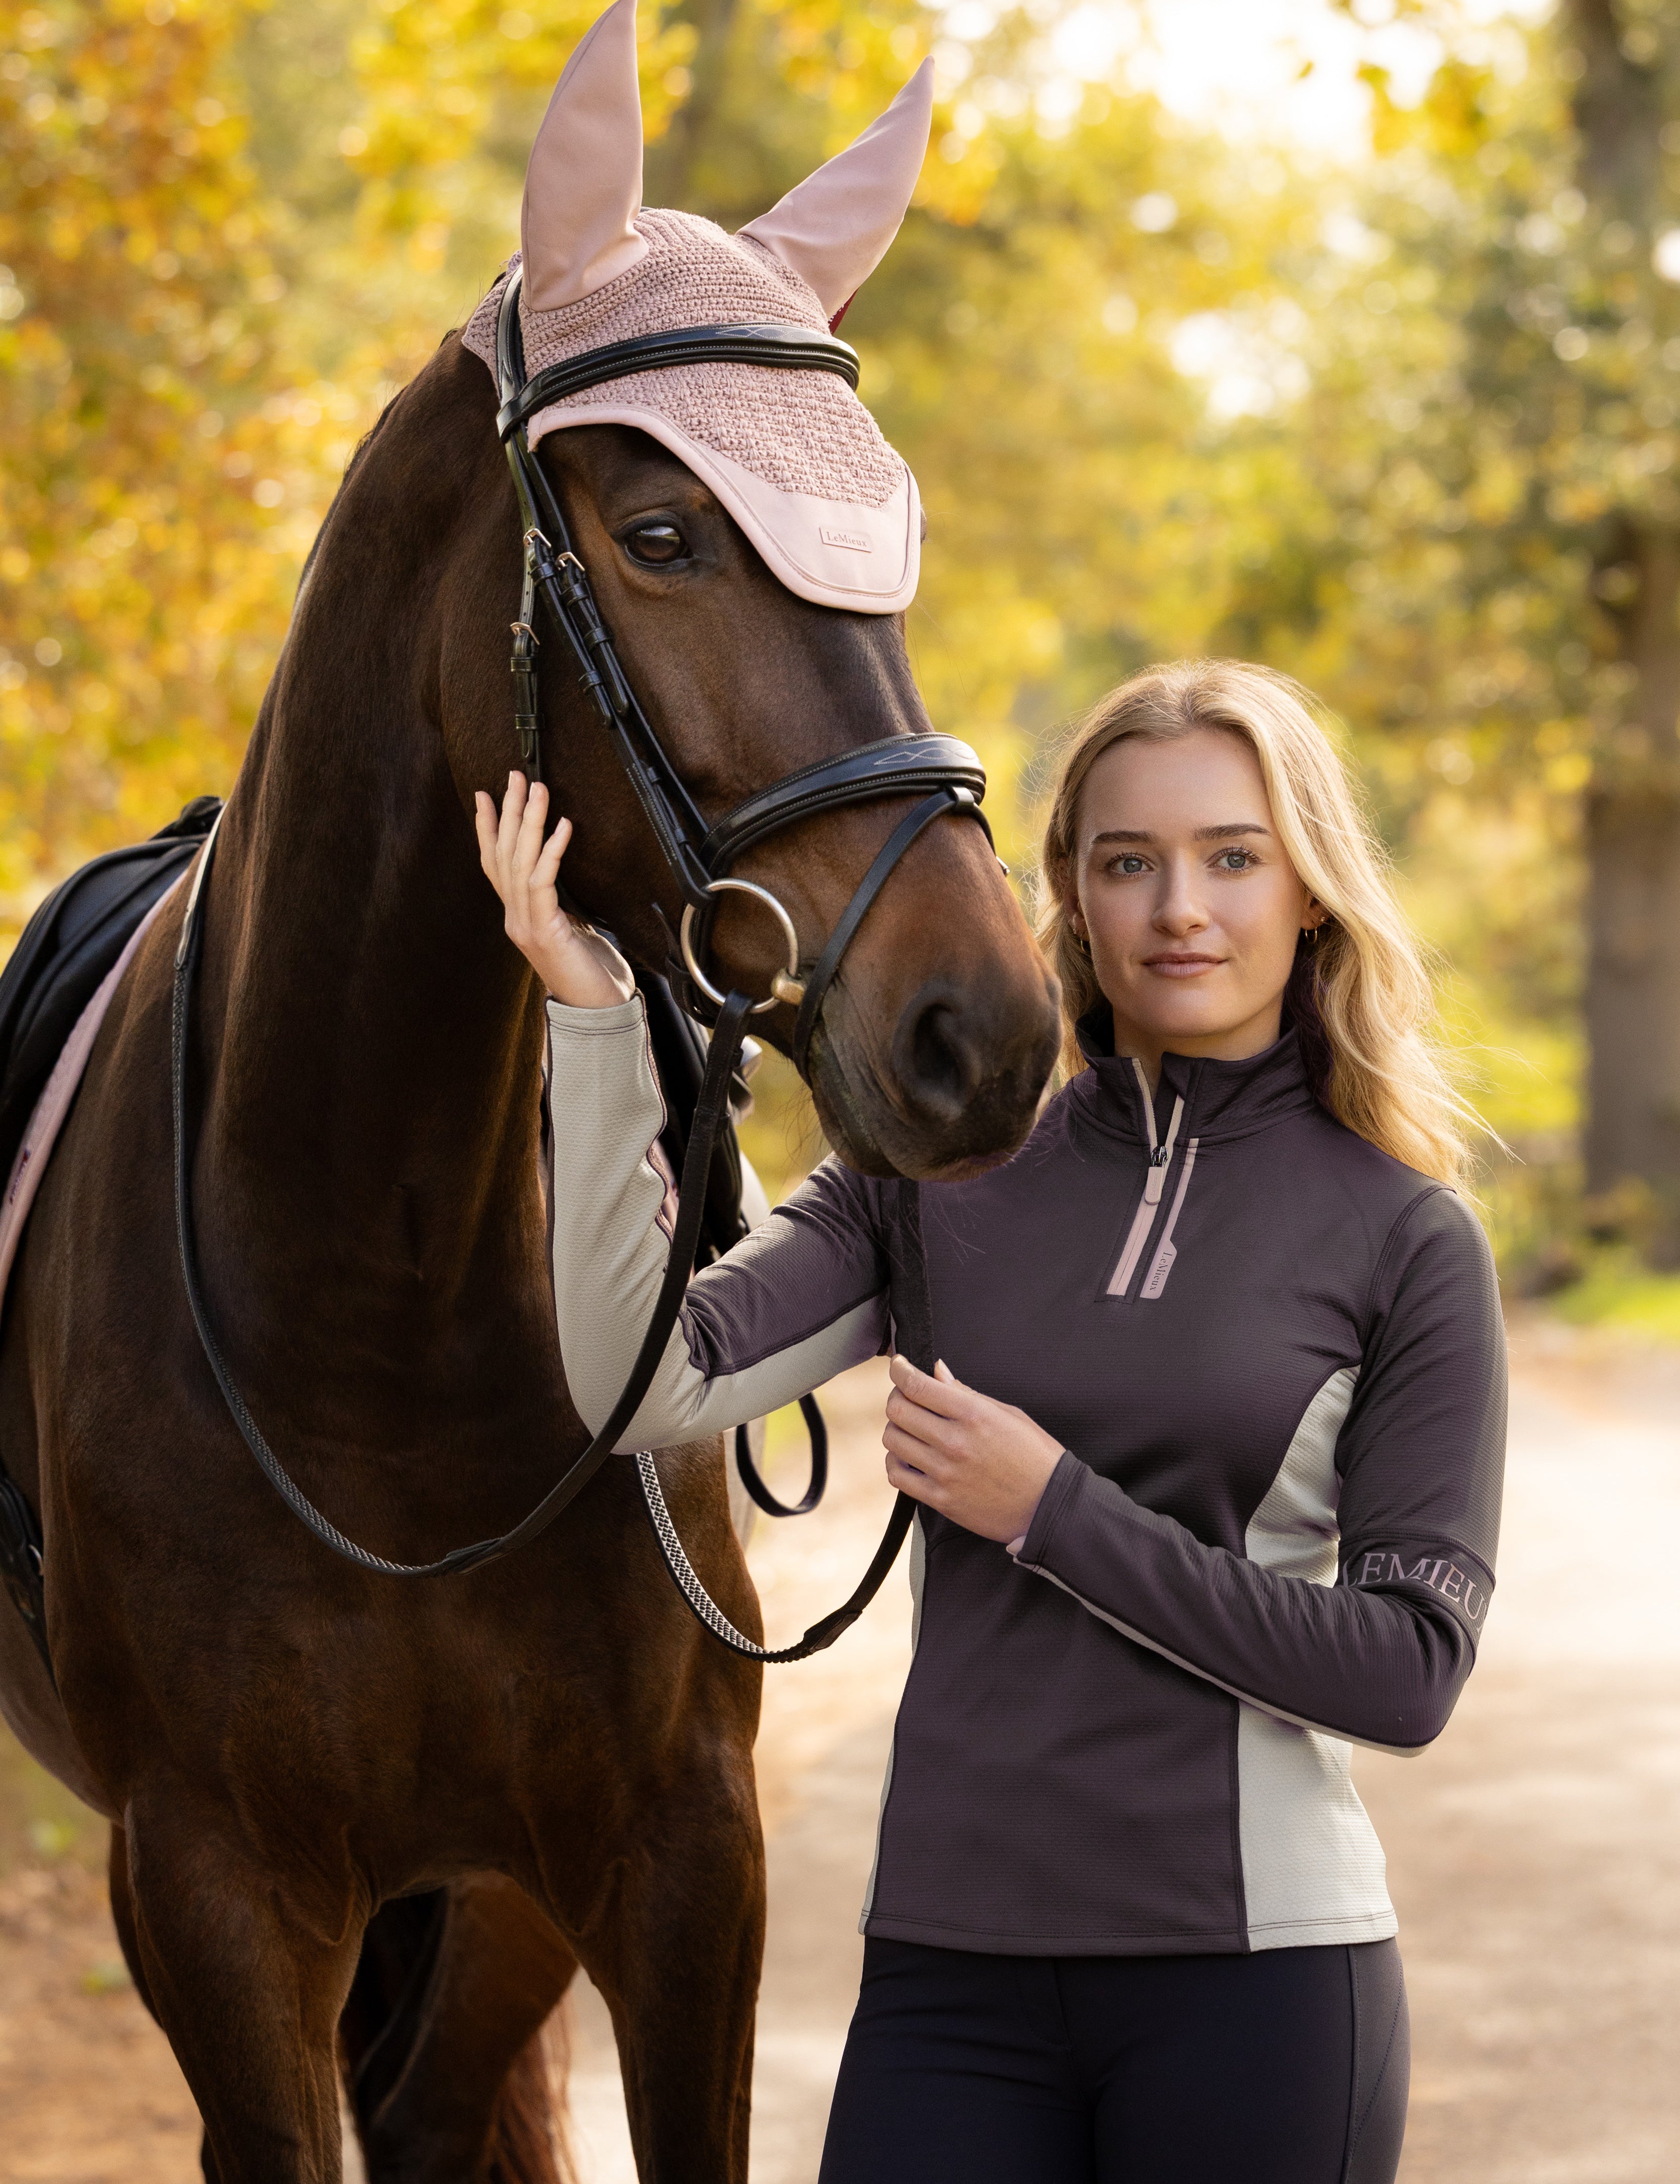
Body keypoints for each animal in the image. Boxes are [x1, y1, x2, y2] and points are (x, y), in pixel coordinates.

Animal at [0, 15, 1058, 2180]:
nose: (977, 1029)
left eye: (891, 546)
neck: (369, 1307)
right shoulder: (213, 1897)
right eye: (659, 535)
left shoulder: (675, 1864)